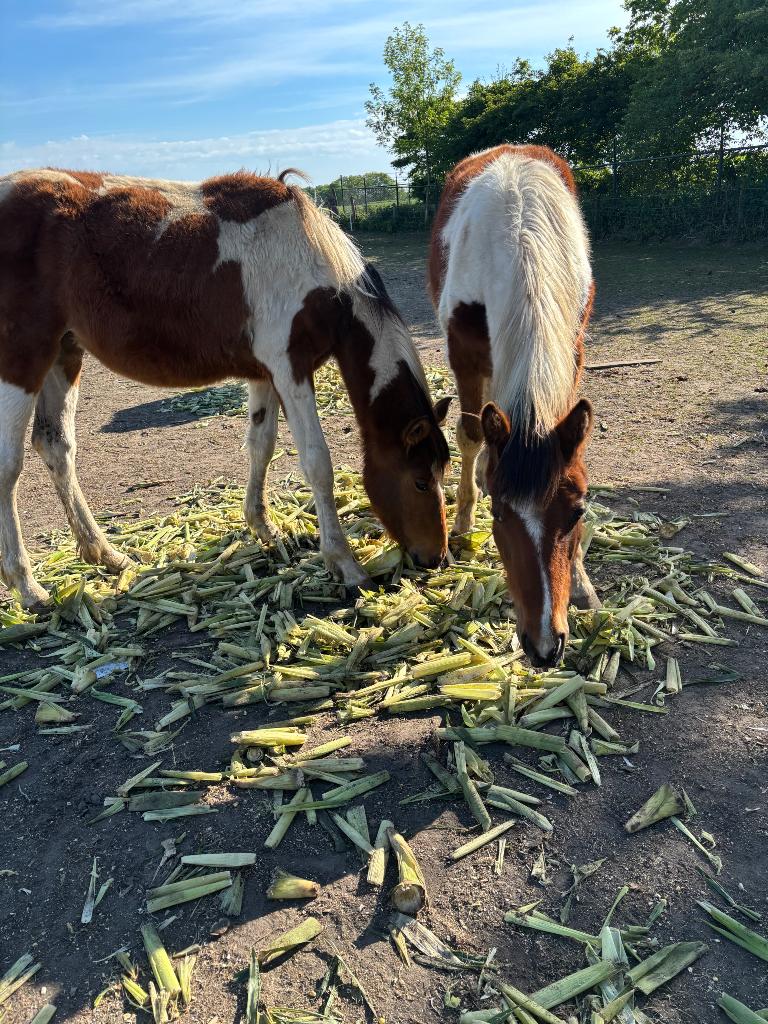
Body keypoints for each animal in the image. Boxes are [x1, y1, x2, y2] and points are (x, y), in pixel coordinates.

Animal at [0, 167, 451, 609]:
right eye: (419, 481)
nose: (436, 558)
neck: (313, 268)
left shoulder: (265, 374)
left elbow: (261, 446)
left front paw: (264, 528)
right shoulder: (291, 370)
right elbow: (317, 463)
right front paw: (345, 563)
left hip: (64, 352)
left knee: (56, 447)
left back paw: (106, 555)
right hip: (22, 360)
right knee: (10, 466)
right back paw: (28, 586)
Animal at [429, 144, 600, 668]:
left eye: (578, 512)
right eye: (501, 516)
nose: (545, 646)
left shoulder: (574, 344)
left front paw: (581, 581)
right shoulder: (463, 351)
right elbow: (469, 433)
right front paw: (464, 521)